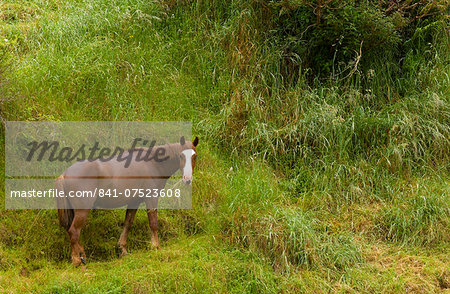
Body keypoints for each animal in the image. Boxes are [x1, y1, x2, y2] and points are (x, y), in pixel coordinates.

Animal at [55, 137, 198, 266]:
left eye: (194, 156)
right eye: (181, 156)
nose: (187, 179)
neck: (152, 164)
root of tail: (65, 174)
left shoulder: (134, 202)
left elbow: (127, 224)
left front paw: (122, 249)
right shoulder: (151, 198)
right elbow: (153, 223)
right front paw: (156, 246)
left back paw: (82, 256)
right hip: (82, 210)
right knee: (74, 231)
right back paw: (77, 261)